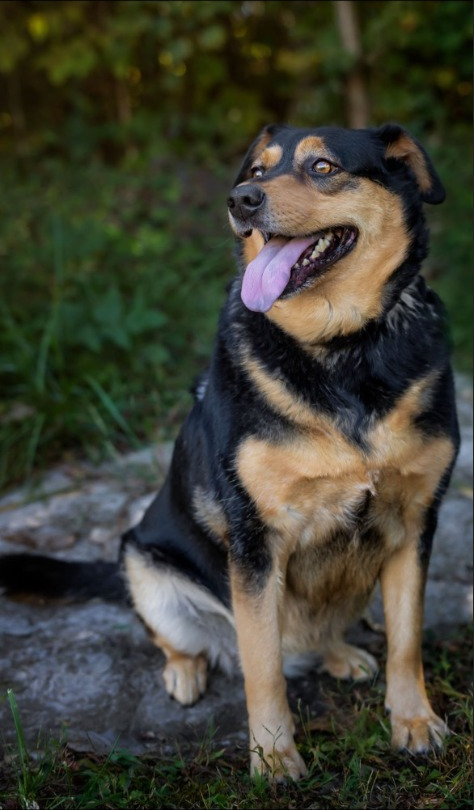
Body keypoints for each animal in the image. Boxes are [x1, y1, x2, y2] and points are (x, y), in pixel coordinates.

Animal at [0, 123, 460, 780]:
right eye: (258, 170)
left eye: (323, 166)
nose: (241, 199)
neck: (343, 347)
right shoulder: (256, 539)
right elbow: (261, 666)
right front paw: (273, 757)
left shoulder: (416, 522)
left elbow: (406, 642)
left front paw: (414, 721)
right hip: (143, 564)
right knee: (191, 641)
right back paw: (185, 671)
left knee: (313, 638)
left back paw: (339, 653)